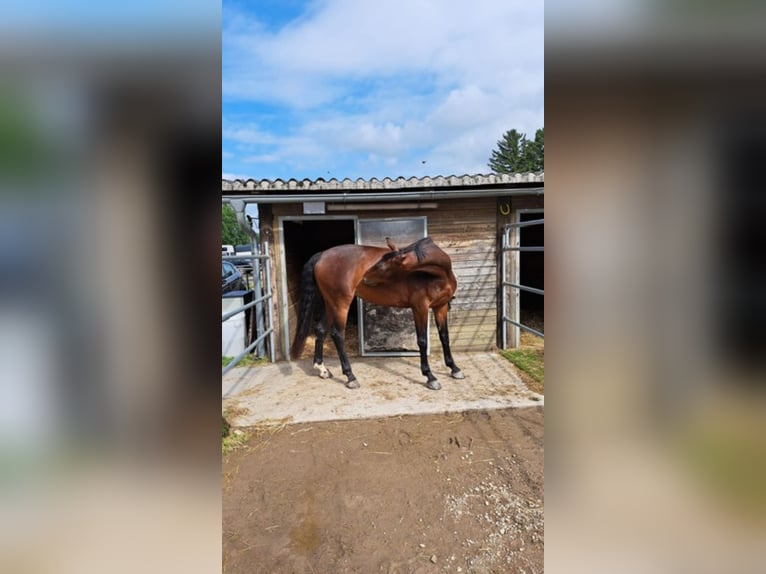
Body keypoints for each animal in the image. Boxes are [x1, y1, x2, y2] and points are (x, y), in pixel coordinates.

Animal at [292, 237, 462, 392]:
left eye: (386, 266)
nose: (365, 278)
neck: (440, 275)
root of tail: (322, 255)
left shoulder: (441, 307)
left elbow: (444, 337)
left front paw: (454, 368)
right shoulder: (420, 307)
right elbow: (422, 341)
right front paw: (430, 377)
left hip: (330, 303)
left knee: (321, 330)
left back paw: (322, 369)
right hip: (340, 304)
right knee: (337, 334)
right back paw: (350, 377)